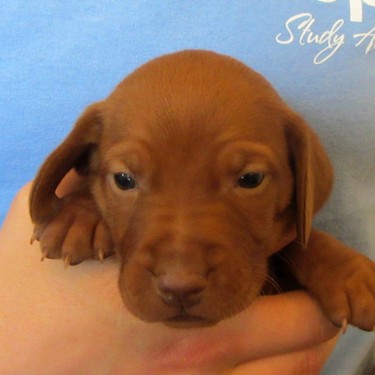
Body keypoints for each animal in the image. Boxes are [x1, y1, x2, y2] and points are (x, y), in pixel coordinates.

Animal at [28, 50, 375, 332]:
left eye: (251, 179)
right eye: (124, 180)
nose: (180, 288)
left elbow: (301, 241)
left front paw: (347, 271)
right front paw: (79, 216)